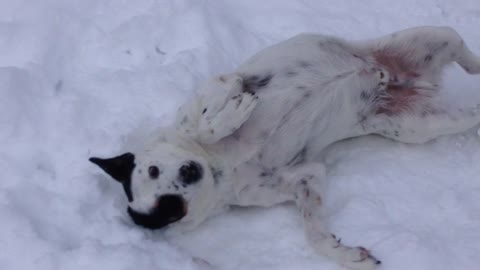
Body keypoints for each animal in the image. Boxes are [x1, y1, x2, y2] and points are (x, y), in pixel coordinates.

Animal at [89, 25, 480, 270]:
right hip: (417, 124)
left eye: (154, 170)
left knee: (468, 56)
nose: (188, 172)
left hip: (435, 37)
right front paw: (346, 254)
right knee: (473, 111)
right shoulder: (306, 176)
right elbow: (315, 235)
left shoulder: (218, 86)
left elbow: (203, 121)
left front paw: (233, 113)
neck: (218, 166)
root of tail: (417, 83)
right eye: (167, 209)